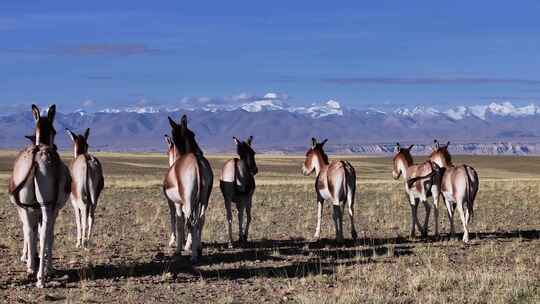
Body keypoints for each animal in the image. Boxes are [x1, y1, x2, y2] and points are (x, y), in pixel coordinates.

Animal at [8, 105, 70, 288]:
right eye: (55, 131)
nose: (55, 145)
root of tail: (36, 155)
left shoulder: (31, 208)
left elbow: (35, 232)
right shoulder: (54, 209)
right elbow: (49, 235)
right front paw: (49, 268)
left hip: (28, 206)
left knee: (30, 231)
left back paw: (31, 269)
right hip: (45, 205)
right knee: (41, 234)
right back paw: (41, 277)